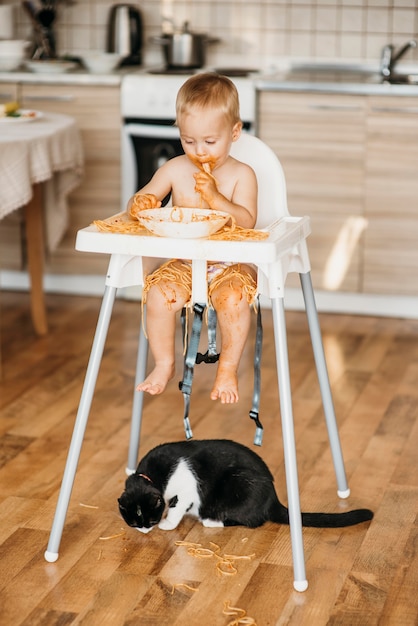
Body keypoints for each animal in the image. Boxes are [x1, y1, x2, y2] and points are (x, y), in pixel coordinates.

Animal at [116, 438, 372, 532]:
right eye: (133, 523)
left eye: (150, 520)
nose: (144, 530)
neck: (150, 475)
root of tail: (272, 499)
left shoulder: (186, 489)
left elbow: (178, 506)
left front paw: (168, 523)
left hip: (239, 483)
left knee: (253, 521)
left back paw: (212, 521)